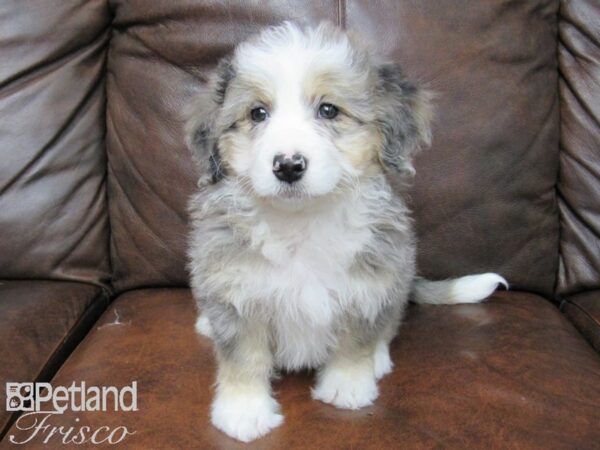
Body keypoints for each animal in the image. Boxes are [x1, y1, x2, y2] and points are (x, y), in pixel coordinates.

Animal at [186, 22, 506, 442]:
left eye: (328, 110)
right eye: (257, 113)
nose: (288, 165)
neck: (301, 222)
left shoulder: (368, 283)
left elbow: (356, 341)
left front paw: (348, 387)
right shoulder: (236, 294)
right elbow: (243, 357)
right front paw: (244, 411)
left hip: (399, 272)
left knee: (391, 321)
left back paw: (379, 359)